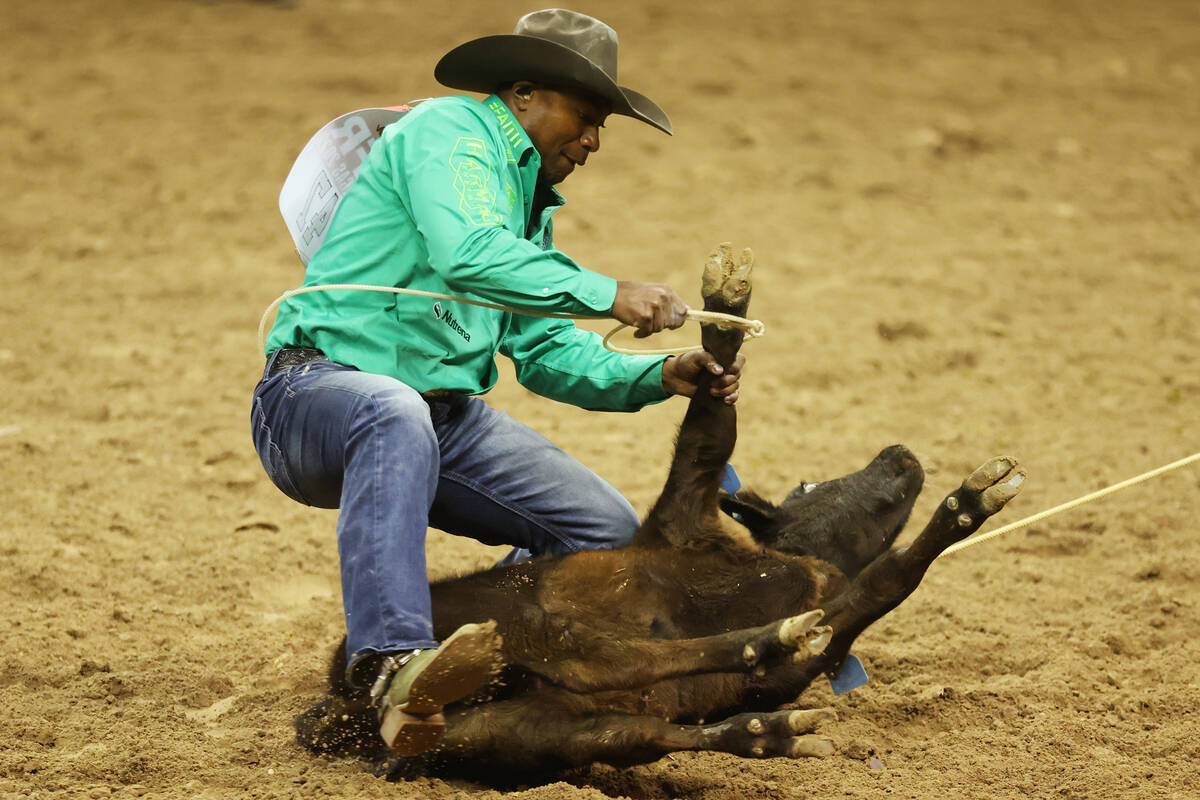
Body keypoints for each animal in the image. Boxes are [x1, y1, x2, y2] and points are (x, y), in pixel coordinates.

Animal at [295, 244, 1027, 782]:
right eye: (811, 481)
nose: (900, 453)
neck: (786, 565)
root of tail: (344, 706)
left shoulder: (808, 648)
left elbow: (869, 591)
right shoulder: (686, 510)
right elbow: (712, 431)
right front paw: (970, 501)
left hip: (529, 736)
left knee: (642, 728)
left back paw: (767, 732)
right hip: (522, 622)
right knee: (615, 660)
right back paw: (766, 641)